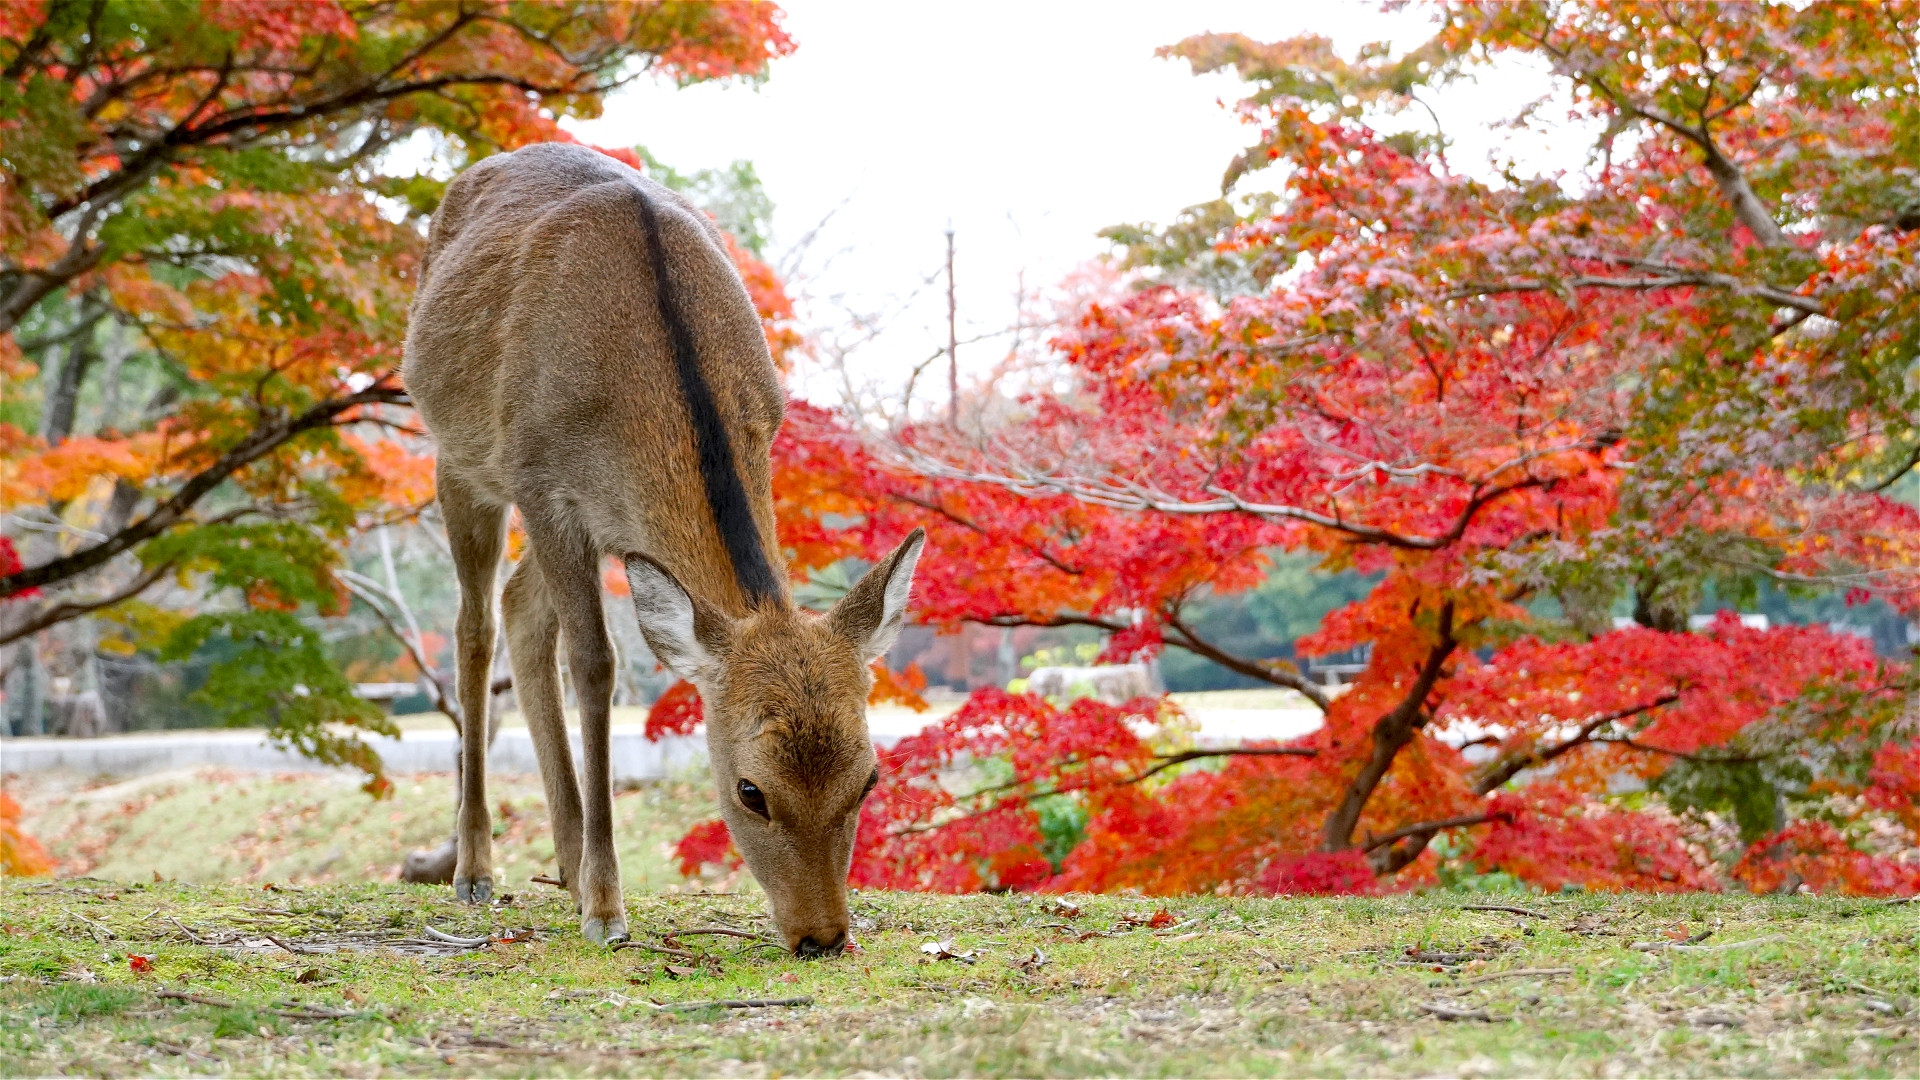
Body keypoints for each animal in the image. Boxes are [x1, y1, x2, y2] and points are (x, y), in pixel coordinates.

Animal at [401, 141, 925, 949]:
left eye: (868, 777)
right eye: (750, 790)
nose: (823, 936)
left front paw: (589, 883)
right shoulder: (542, 482)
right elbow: (595, 665)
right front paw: (606, 909)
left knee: (521, 606)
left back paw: (565, 859)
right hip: (458, 460)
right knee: (475, 625)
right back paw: (478, 870)